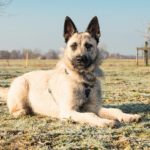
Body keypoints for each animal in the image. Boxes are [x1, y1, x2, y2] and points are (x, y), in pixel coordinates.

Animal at [0, 16, 141, 127]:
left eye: (88, 46)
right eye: (73, 46)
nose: (80, 59)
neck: (83, 78)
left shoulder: (94, 106)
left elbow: (114, 110)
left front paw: (128, 116)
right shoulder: (69, 111)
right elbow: (90, 115)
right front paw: (104, 121)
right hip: (22, 86)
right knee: (14, 110)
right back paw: (23, 111)